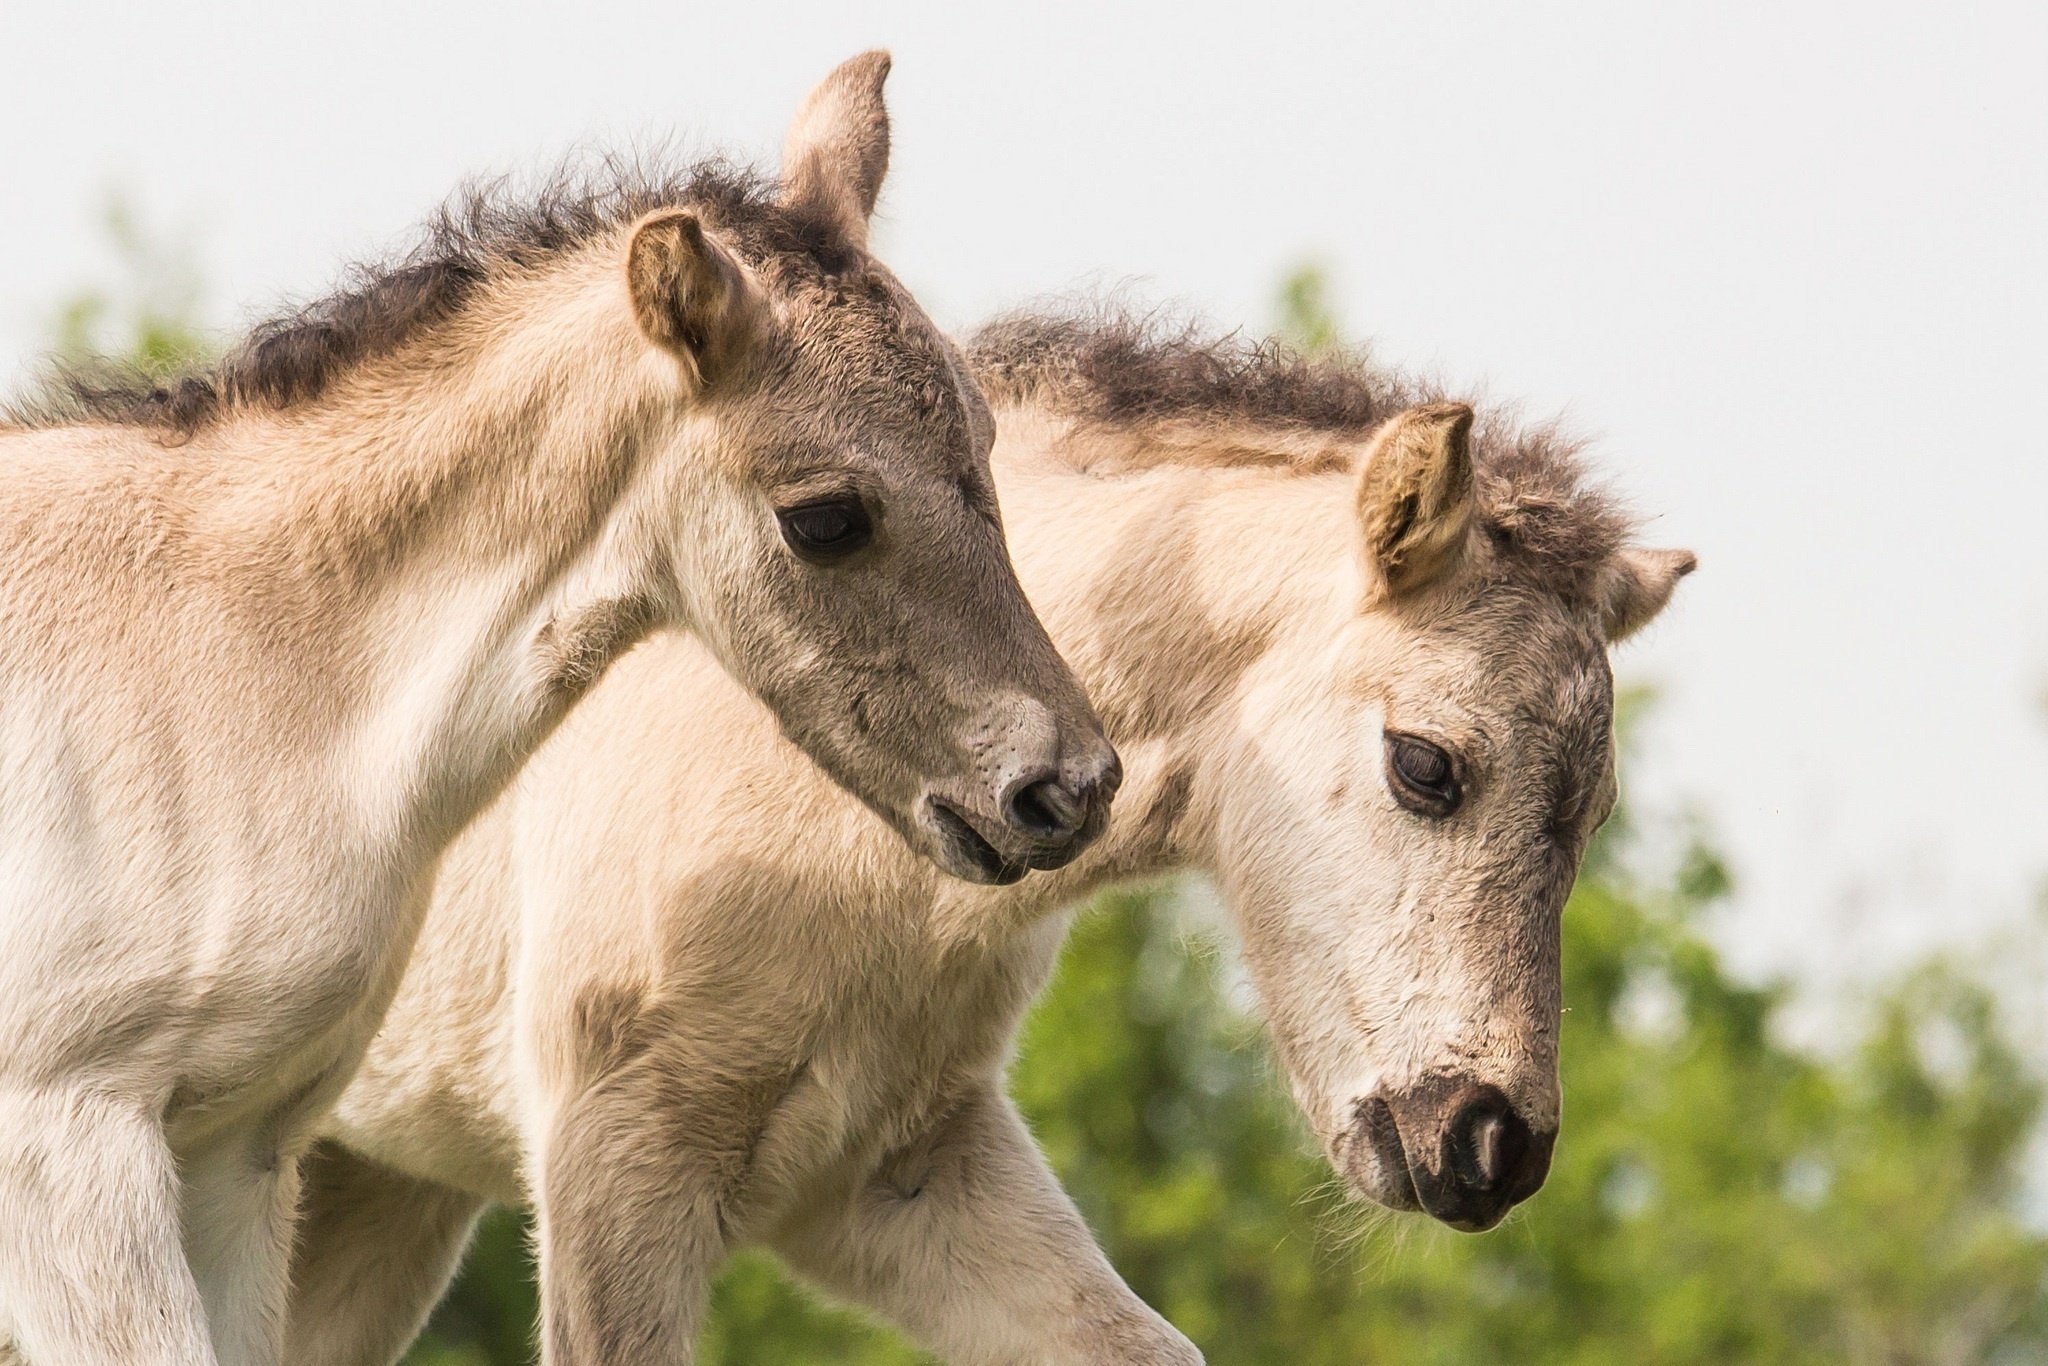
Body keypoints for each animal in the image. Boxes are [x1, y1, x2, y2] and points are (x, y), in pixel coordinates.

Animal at [0, 56, 1114, 1366]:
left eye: (985, 440)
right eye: (826, 516)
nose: (1066, 786)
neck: (226, 665)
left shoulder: (235, 1151)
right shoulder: (69, 1138)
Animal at [288, 313, 1695, 1366]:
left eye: (1588, 819)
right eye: (1424, 765)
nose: (1490, 1145)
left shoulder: (892, 1175)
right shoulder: (617, 1165)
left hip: (377, 1189)